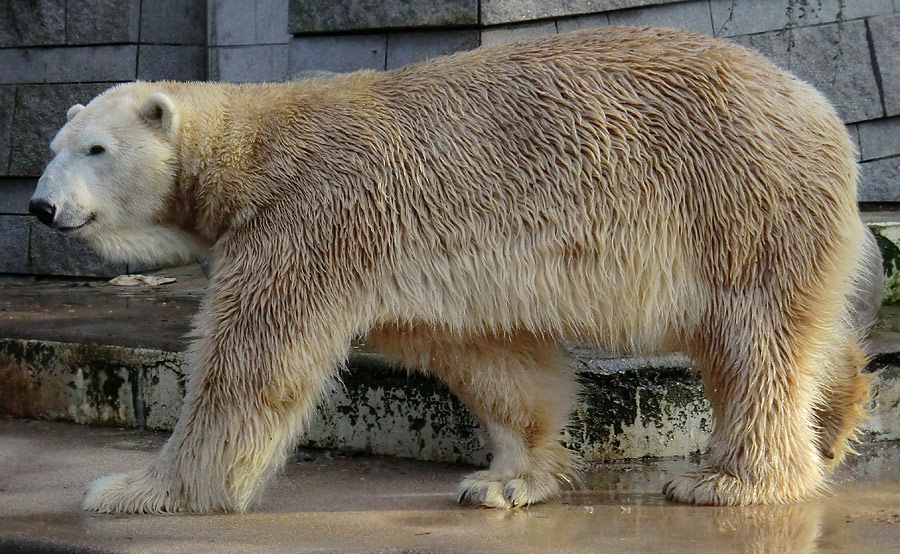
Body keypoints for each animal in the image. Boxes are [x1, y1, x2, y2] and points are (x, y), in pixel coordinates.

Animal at [31, 28, 876, 512]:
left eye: (96, 148)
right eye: (53, 146)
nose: (41, 207)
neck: (254, 149)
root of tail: (818, 105)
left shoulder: (307, 216)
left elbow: (253, 364)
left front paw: (133, 490)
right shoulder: (424, 264)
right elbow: (497, 362)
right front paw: (505, 479)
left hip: (732, 202)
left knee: (750, 340)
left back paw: (730, 481)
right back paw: (835, 417)